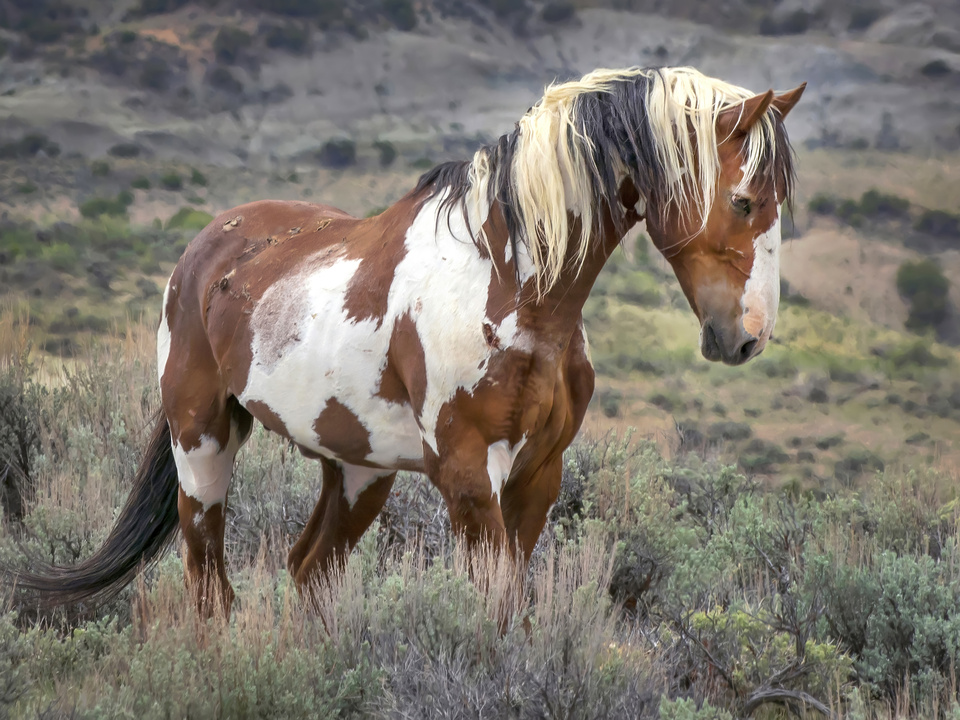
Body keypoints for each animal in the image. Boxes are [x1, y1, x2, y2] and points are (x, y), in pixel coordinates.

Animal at [12, 66, 804, 616]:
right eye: (743, 202)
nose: (747, 340)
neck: (512, 285)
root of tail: (205, 249)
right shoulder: (469, 478)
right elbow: (495, 614)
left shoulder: (537, 478)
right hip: (202, 440)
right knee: (210, 583)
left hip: (358, 469)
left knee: (309, 571)